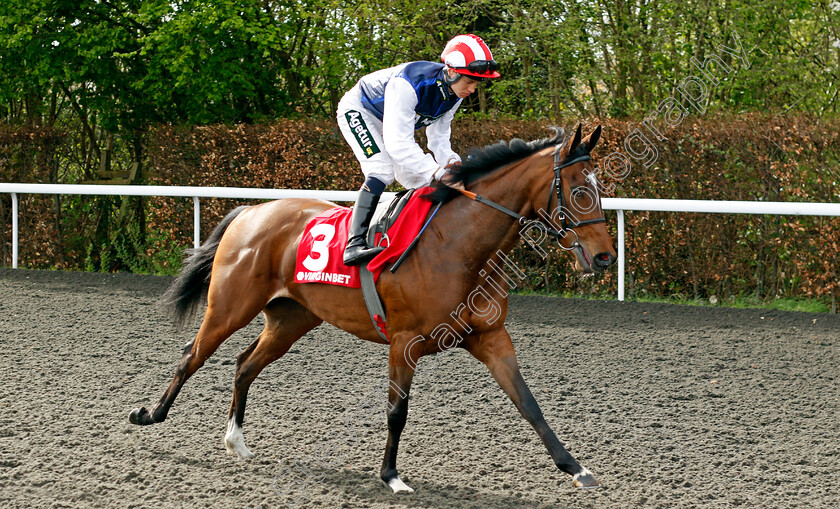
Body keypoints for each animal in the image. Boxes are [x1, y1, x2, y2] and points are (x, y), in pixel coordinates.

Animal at [130, 123, 616, 492]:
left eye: (600, 189)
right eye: (577, 189)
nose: (604, 257)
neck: (459, 248)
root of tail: (250, 212)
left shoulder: (491, 337)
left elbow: (529, 404)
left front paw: (576, 468)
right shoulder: (404, 343)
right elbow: (396, 411)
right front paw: (391, 476)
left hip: (290, 319)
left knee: (245, 363)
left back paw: (236, 441)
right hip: (230, 306)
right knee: (192, 356)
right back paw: (150, 415)